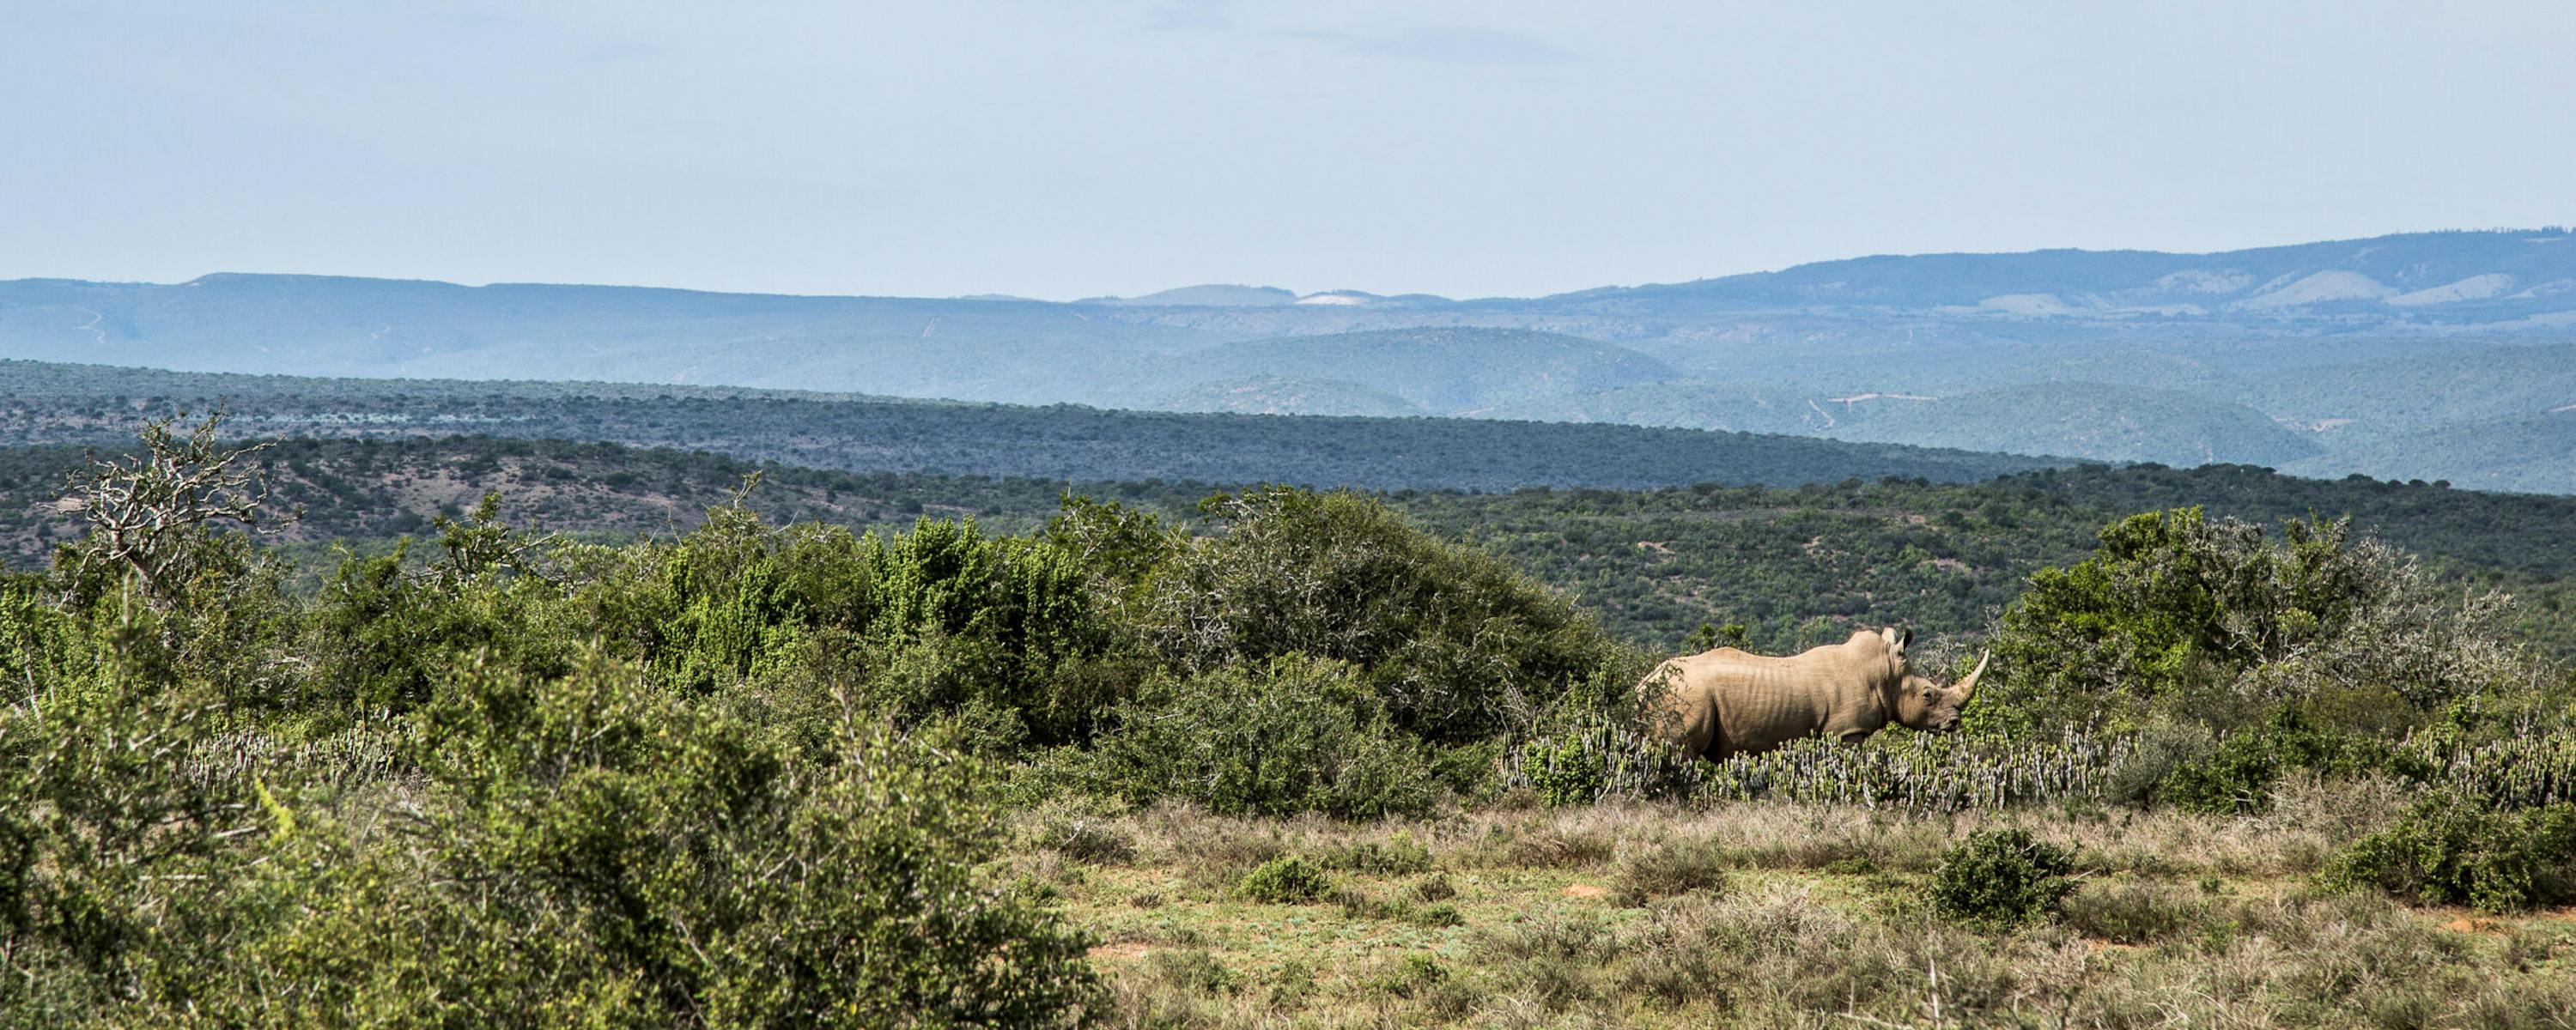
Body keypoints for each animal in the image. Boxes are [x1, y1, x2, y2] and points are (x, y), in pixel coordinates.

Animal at [1643, 627, 1987, 761]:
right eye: (1928, 695)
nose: (1954, 722)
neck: (1884, 673)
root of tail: (1645, 682)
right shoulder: (1847, 731)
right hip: (1688, 695)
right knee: (1681, 752)